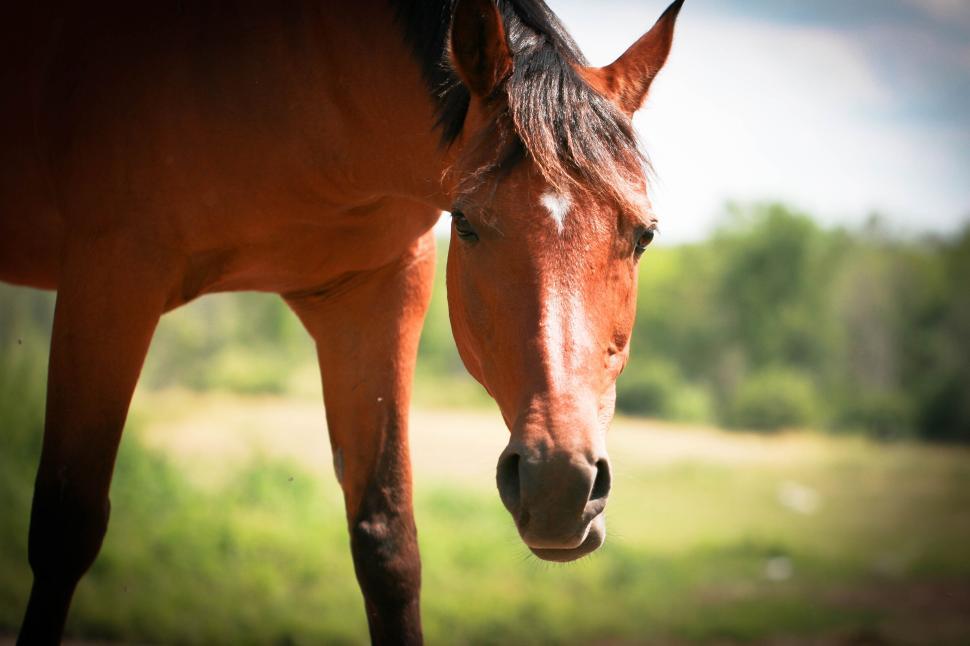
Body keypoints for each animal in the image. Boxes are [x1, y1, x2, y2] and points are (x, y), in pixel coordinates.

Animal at [0, 0, 683, 643]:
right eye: (465, 222)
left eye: (644, 235)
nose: (559, 484)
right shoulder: (113, 274)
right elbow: (65, 529)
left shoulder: (375, 293)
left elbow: (387, 547)